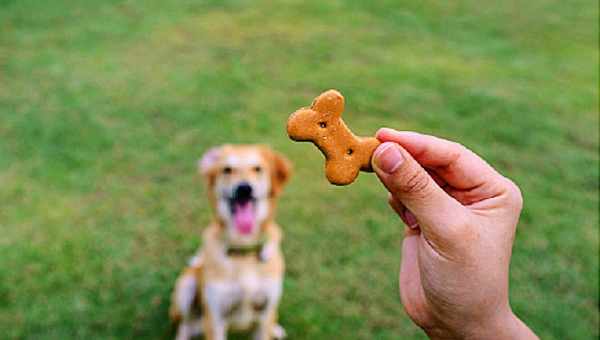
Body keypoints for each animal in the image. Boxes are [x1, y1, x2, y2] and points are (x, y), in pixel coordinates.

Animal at [170, 144, 292, 340]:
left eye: (257, 169)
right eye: (227, 170)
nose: (244, 189)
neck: (243, 249)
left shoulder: (265, 312)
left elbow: (266, 322)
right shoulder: (215, 318)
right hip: (186, 287)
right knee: (185, 325)